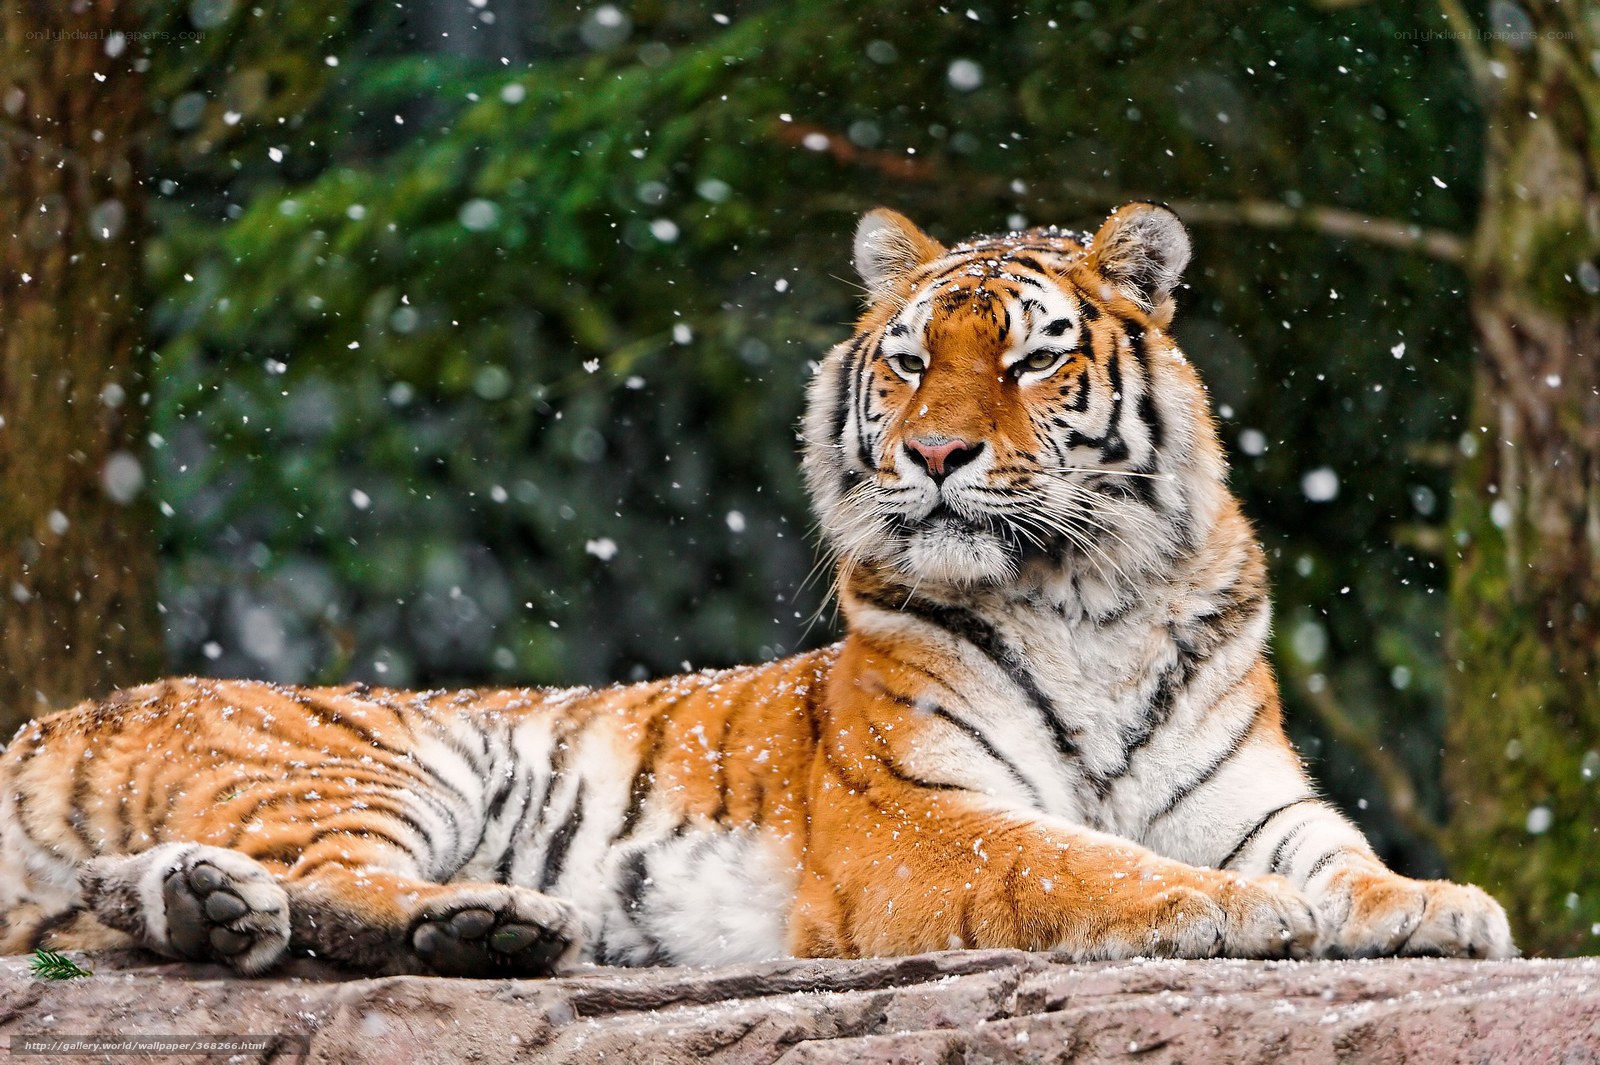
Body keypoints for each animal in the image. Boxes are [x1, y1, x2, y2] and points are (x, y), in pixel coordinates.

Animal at [0, 203, 1514, 978]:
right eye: (909, 359)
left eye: (1031, 359)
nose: (937, 454)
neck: (1092, 597)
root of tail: (55, 716)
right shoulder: (918, 815)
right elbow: (1079, 859)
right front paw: (1233, 909)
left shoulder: (1253, 795)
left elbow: (1341, 853)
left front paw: (1438, 903)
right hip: (369, 759)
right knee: (328, 888)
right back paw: (484, 922)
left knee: (175, 897)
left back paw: (228, 910)